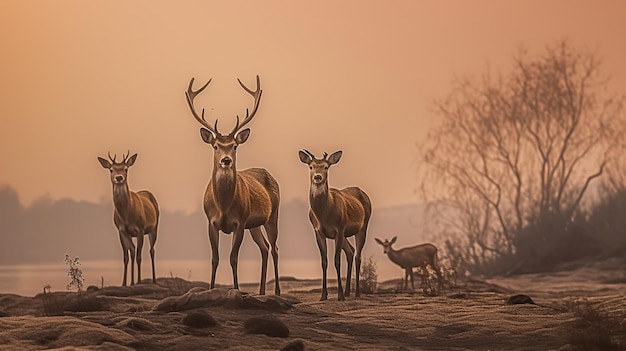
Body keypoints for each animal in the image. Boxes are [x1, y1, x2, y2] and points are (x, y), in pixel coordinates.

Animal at [97, 153, 158, 288]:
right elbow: (127, 256)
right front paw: (125, 283)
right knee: (133, 250)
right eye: (111, 169)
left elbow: (139, 256)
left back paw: (154, 280)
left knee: (151, 250)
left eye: (126, 168)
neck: (126, 215)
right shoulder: (121, 230)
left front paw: (139, 281)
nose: (119, 177)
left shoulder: (140, 228)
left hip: (154, 227)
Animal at [184, 75, 280, 296]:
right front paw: (210, 289)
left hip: (273, 216)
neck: (224, 206)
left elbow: (233, 258)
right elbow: (215, 259)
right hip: (255, 224)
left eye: (235, 146)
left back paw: (277, 291)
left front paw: (236, 290)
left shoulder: (240, 221)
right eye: (215, 146)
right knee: (264, 248)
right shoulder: (211, 222)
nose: (226, 160)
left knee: (275, 248)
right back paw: (261, 291)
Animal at [298, 150, 370, 302]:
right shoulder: (318, 231)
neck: (324, 215)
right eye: (311, 167)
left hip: (363, 226)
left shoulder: (339, 228)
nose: (317, 177)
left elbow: (336, 260)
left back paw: (356, 293)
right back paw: (348, 292)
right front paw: (323, 295)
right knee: (351, 251)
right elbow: (324, 261)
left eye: (326, 167)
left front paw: (340, 295)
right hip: (346, 234)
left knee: (358, 256)